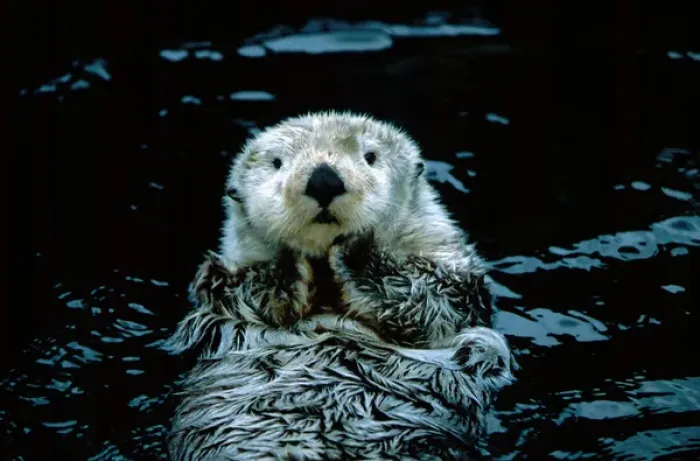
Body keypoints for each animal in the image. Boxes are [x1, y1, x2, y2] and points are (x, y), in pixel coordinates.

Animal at [166, 111, 516, 461]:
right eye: (277, 163)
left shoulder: (455, 281)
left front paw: (356, 248)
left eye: (370, 156)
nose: (324, 180)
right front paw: (287, 259)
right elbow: (232, 288)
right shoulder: (223, 285)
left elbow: (435, 300)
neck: (326, 289)